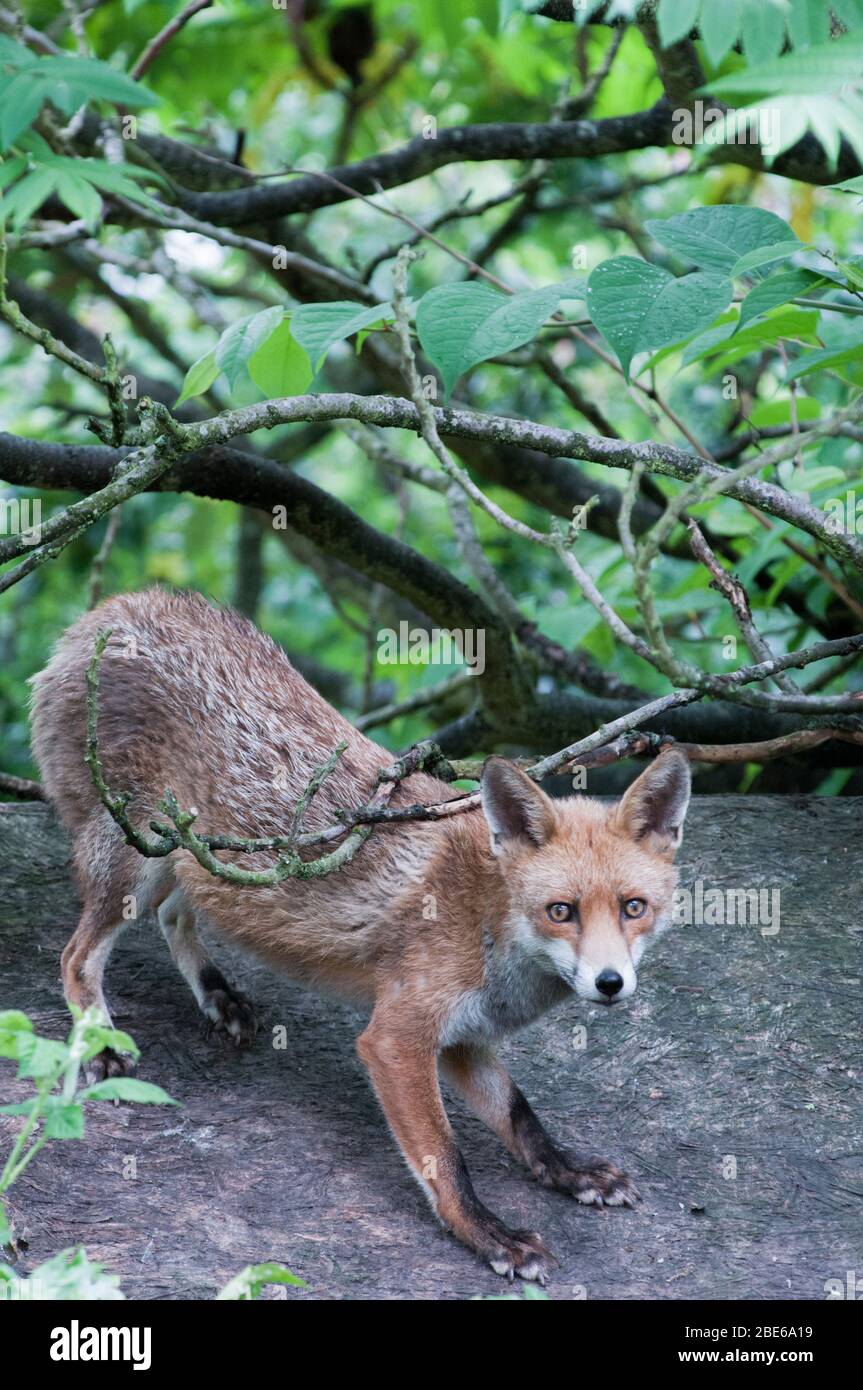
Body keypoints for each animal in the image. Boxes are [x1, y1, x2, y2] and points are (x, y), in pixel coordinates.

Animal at [31, 586, 692, 1278]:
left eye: (634, 907)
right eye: (561, 911)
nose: (610, 983)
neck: (486, 921)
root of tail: (121, 605)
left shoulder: (463, 1036)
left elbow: (520, 1114)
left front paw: (568, 1171)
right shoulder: (398, 1038)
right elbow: (444, 1158)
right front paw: (489, 1234)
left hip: (198, 860)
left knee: (174, 916)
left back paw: (218, 995)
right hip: (140, 855)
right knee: (76, 958)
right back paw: (99, 1043)